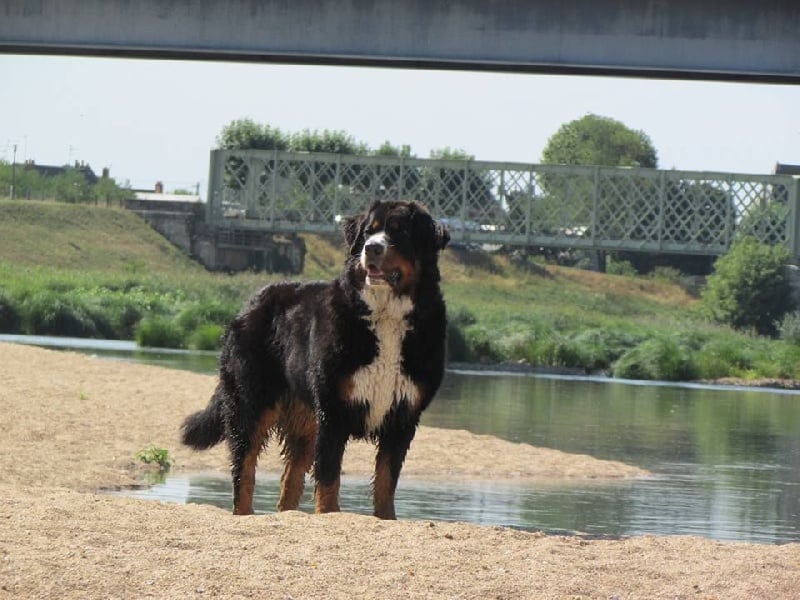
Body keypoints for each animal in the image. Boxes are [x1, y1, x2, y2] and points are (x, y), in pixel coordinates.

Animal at [179, 199, 450, 516]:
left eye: (400, 231)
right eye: (368, 233)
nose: (371, 248)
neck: (386, 317)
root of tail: (251, 301)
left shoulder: (403, 416)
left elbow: (386, 482)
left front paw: (385, 519)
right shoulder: (334, 411)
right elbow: (329, 476)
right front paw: (329, 514)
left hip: (305, 418)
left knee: (290, 478)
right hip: (251, 404)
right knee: (243, 470)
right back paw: (243, 513)